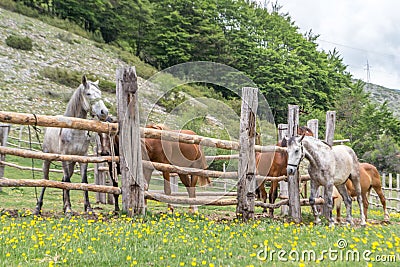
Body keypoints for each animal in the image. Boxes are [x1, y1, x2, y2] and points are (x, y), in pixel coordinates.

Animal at [33, 76, 108, 216]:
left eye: (100, 93)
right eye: (88, 94)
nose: (104, 112)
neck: (75, 129)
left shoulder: (82, 158)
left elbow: (83, 182)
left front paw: (88, 209)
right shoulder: (65, 157)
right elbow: (67, 180)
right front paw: (68, 209)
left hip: (72, 163)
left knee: (62, 180)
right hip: (47, 160)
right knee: (45, 180)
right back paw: (38, 207)